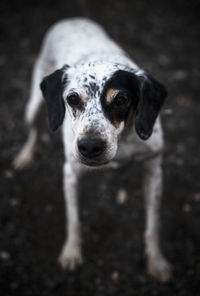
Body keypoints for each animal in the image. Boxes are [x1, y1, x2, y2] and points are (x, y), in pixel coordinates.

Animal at [13, 17, 170, 282]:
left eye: (121, 100)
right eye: (72, 99)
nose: (90, 146)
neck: (123, 141)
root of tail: (71, 19)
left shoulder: (154, 171)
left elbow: (153, 225)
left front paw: (157, 261)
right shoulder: (70, 174)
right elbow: (74, 220)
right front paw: (71, 252)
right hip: (33, 106)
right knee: (34, 131)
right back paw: (25, 156)